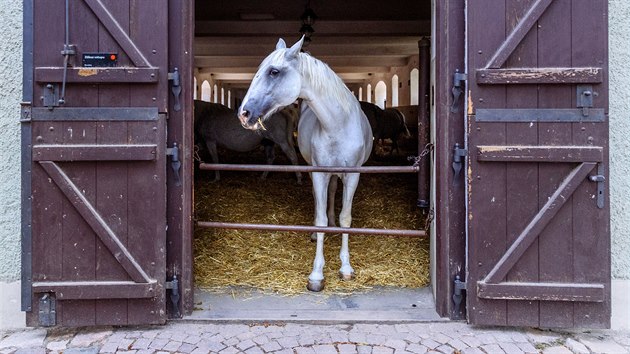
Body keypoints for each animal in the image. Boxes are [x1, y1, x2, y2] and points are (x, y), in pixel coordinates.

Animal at [239, 36, 372, 292]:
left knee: (332, 194)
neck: (338, 125)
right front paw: (317, 275)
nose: (244, 113)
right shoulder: (319, 173)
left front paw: (346, 268)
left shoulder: (352, 175)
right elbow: (320, 220)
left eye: (274, 71)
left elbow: (346, 218)